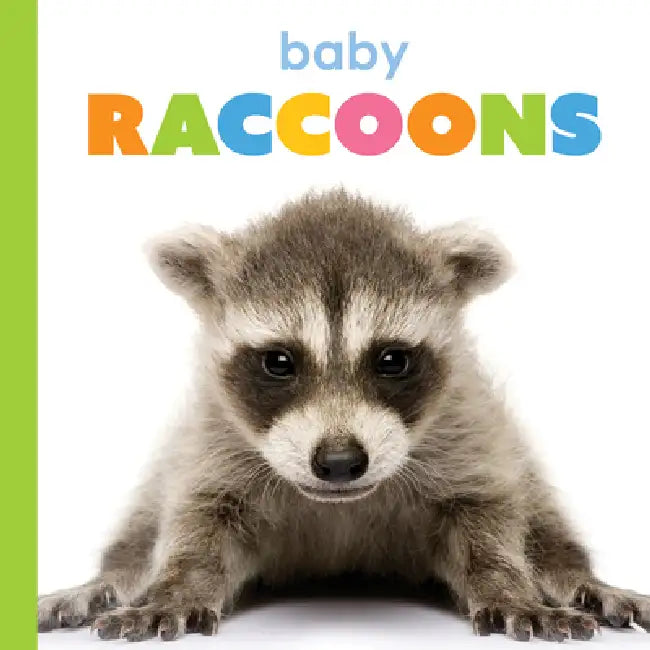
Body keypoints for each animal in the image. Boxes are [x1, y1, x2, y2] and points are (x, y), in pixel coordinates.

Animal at [38, 189, 649, 642]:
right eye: (279, 362)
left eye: (392, 360)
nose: (337, 462)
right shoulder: (212, 438)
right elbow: (200, 523)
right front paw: (177, 587)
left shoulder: (468, 427)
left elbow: (486, 517)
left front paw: (507, 585)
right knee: (142, 526)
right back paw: (111, 579)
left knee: (543, 517)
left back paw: (575, 575)